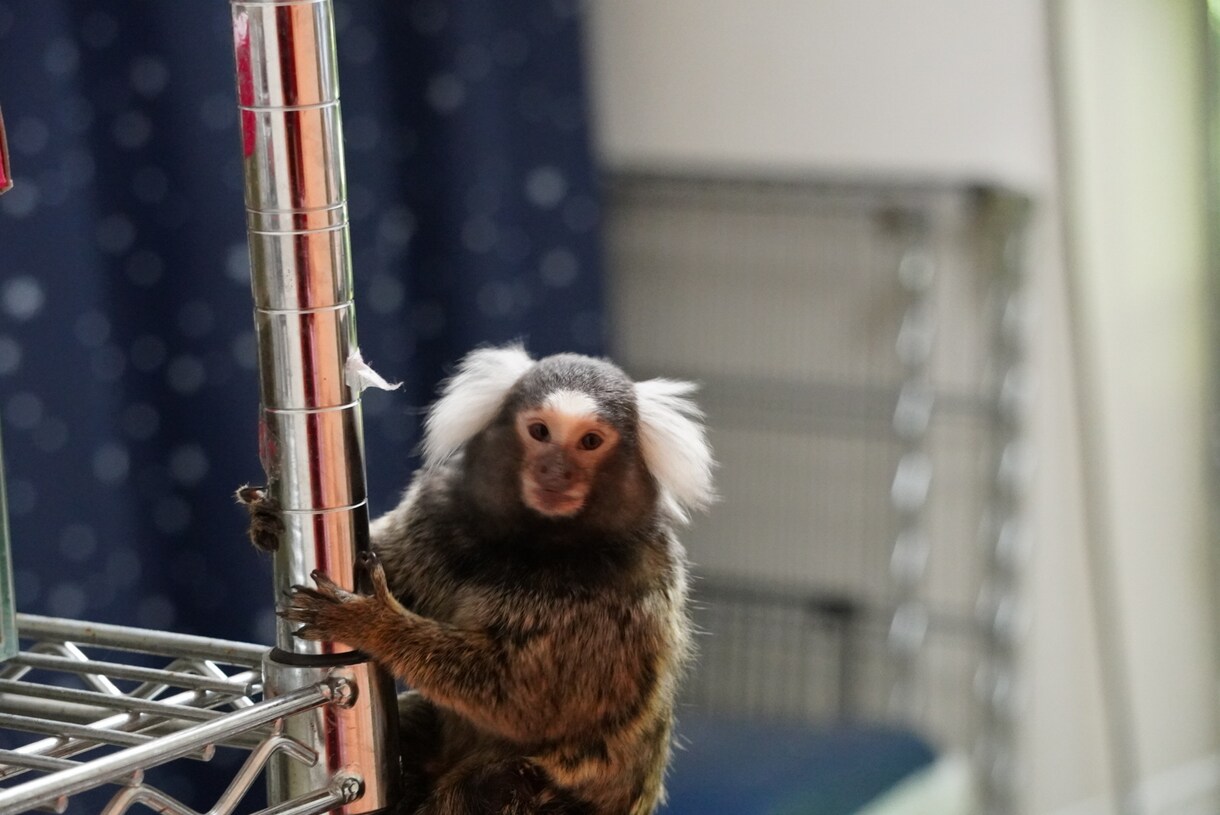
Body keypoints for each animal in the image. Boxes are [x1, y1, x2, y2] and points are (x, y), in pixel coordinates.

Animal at [246, 345, 715, 815]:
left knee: (496, 786)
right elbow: (392, 563)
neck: (530, 542)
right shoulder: (438, 513)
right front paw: (265, 521)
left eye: (590, 442)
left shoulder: (613, 601)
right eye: (540, 431)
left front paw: (374, 623)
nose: (555, 472)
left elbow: (523, 699)